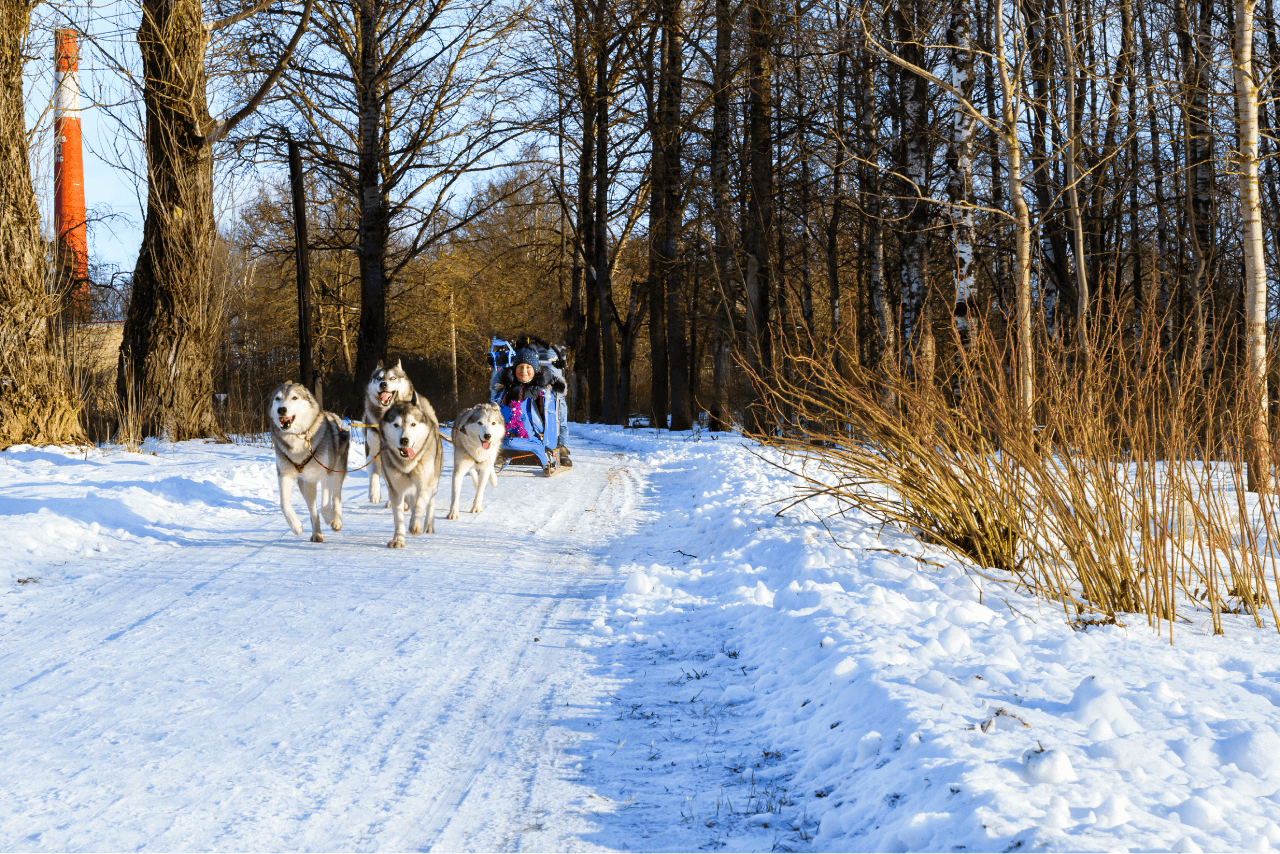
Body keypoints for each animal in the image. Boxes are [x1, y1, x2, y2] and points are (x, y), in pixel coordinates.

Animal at [268, 381, 350, 540]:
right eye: (277, 398)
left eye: (294, 398)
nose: (282, 410)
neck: (297, 438)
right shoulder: (285, 474)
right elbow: (283, 504)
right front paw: (296, 526)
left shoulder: (326, 474)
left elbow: (325, 505)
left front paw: (329, 518)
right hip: (307, 485)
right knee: (313, 512)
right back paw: (317, 534)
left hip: (337, 472)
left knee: (336, 497)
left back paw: (336, 521)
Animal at [366, 361, 419, 507]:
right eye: (378, 378)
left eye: (393, 378)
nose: (383, 384)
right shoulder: (373, 451)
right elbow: (374, 474)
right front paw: (374, 494)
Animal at [376, 399, 442, 547]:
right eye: (396, 425)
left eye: (413, 424)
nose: (404, 440)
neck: (407, 464)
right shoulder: (395, 490)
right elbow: (398, 517)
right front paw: (398, 539)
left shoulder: (424, 484)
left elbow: (420, 504)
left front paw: (415, 524)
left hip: (433, 483)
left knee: (430, 502)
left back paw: (428, 525)